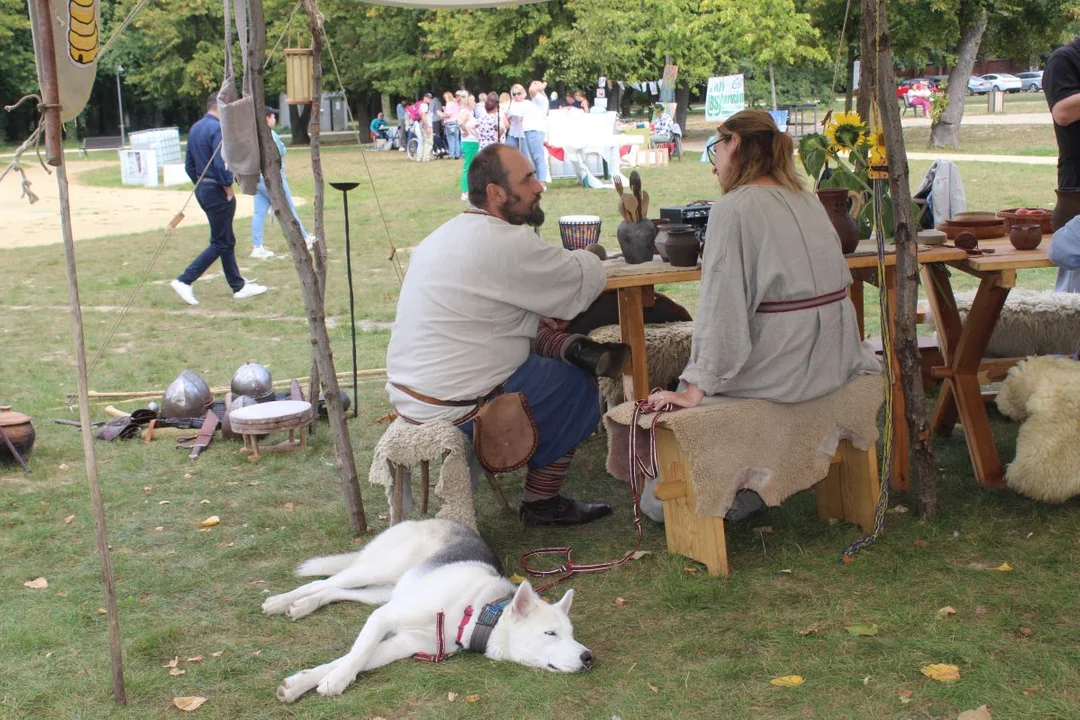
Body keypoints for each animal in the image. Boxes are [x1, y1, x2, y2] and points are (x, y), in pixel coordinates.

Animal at [264, 520, 596, 699]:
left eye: (571, 634)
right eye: (550, 633)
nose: (588, 657)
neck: (476, 611)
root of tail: (430, 519)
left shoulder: (402, 642)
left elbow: (352, 658)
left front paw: (302, 683)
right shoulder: (384, 617)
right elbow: (357, 655)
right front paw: (336, 681)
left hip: (383, 593)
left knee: (334, 590)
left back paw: (302, 606)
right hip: (376, 572)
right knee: (324, 581)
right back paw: (282, 601)